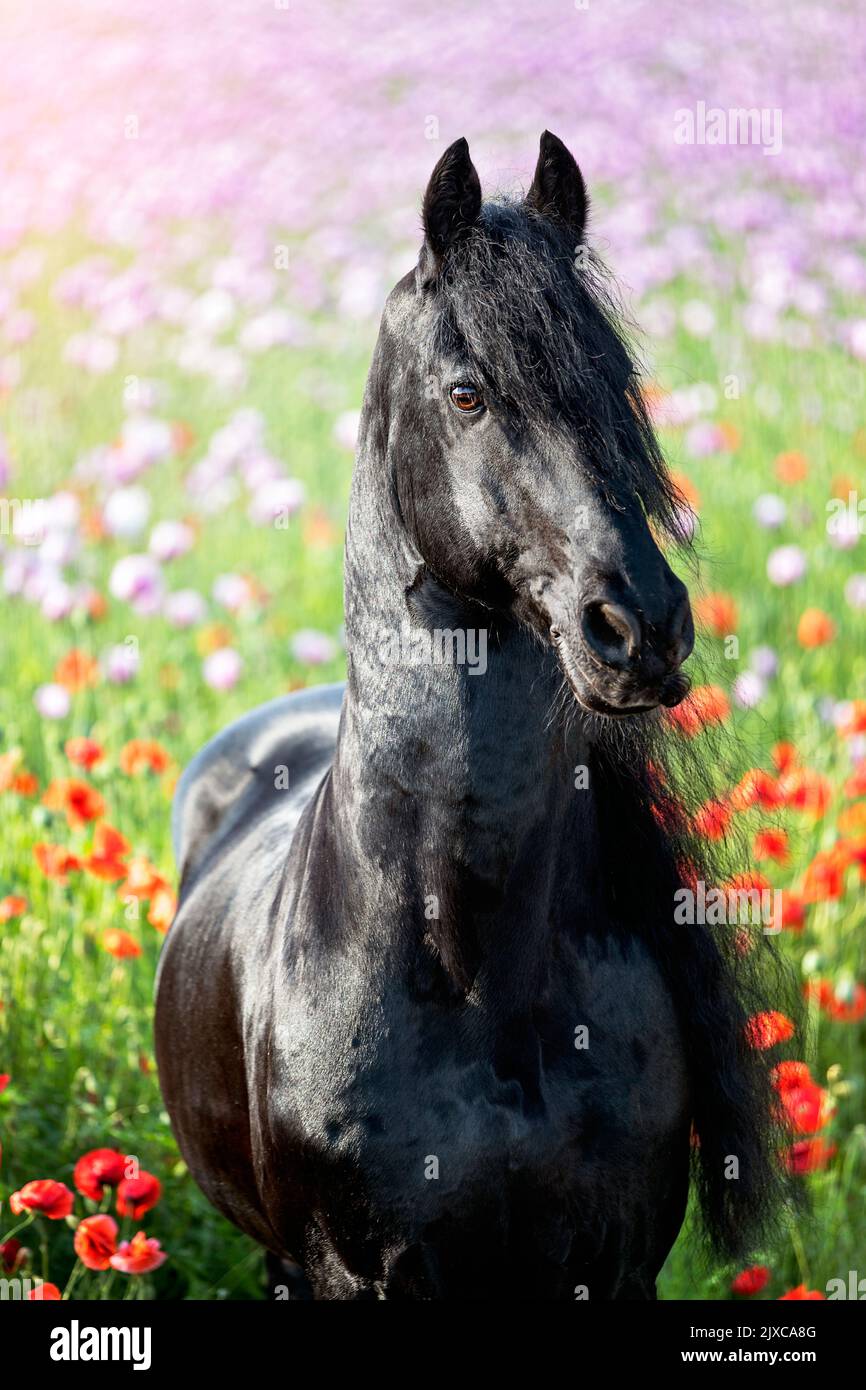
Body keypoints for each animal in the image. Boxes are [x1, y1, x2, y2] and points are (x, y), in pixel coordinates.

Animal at [155, 135, 795, 1295]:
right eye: (466, 394)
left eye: (618, 386)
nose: (637, 628)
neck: (471, 968)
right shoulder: (354, 1270)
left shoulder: (613, 1265)